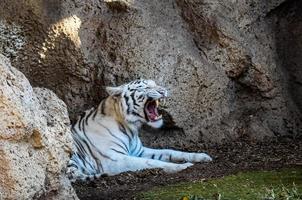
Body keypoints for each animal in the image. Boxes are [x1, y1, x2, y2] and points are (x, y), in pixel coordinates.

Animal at [67, 79, 212, 181]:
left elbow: (170, 152)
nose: (163, 90)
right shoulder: (114, 160)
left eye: (156, 84)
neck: (130, 128)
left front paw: (201, 156)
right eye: (145, 87)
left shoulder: (139, 151)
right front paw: (183, 166)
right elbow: (152, 162)